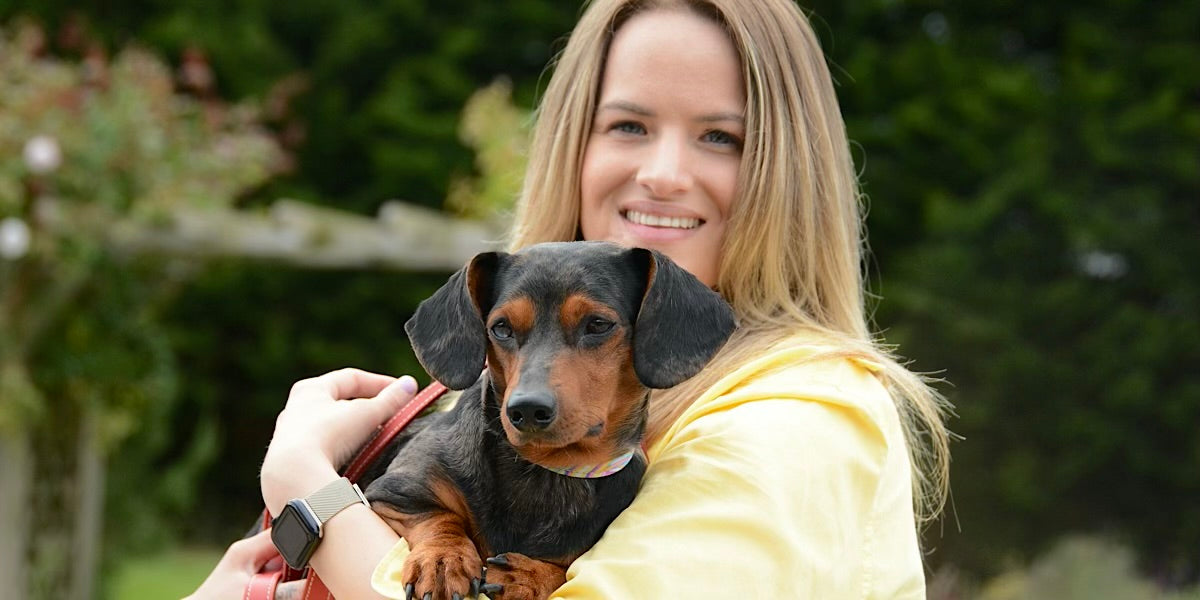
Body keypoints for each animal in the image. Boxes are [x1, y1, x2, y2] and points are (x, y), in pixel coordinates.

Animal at [360, 242, 729, 600]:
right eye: (501, 328)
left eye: (598, 324)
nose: (526, 410)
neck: (550, 467)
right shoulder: (394, 493)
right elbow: (439, 516)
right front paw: (442, 560)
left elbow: (565, 571)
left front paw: (532, 576)